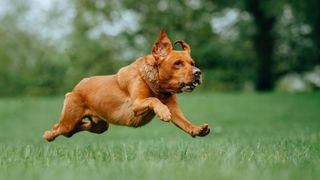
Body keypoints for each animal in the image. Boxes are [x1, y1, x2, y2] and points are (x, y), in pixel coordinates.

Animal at [43, 29, 211, 142]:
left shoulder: (174, 110)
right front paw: (162, 112)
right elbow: (153, 100)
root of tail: (77, 86)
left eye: (192, 63)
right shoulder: (136, 104)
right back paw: (48, 135)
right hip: (70, 120)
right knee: (60, 128)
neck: (157, 85)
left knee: (79, 128)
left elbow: (184, 122)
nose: (198, 73)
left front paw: (197, 129)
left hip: (100, 126)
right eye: (177, 63)